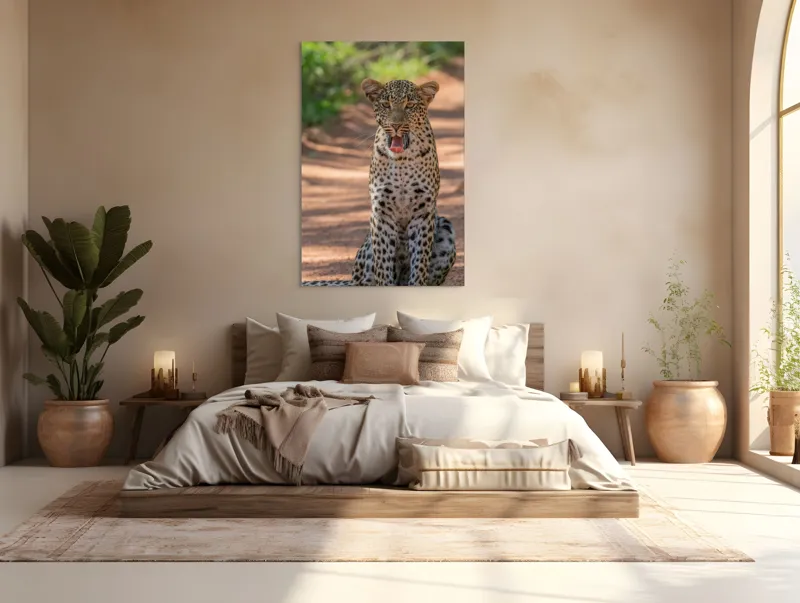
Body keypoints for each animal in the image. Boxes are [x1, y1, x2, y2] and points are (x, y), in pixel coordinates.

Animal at [304, 78, 456, 286]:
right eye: (386, 105)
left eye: (410, 105)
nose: (396, 125)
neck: (401, 162)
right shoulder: (381, 212)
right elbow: (383, 263)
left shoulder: (423, 212)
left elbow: (420, 261)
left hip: (445, 228)